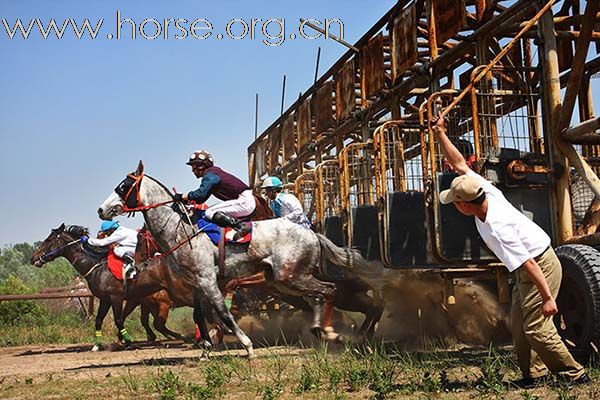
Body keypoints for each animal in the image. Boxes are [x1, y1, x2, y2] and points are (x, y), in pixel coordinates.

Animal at [97, 162, 366, 360]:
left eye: (123, 186)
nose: (101, 210)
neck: (180, 229)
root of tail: (311, 233)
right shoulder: (197, 284)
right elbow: (199, 316)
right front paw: (205, 348)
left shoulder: (209, 281)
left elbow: (223, 313)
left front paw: (246, 345)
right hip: (284, 280)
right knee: (320, 295)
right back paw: (326, 331)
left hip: (290, 277)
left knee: (328, 290)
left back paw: (331, 332)